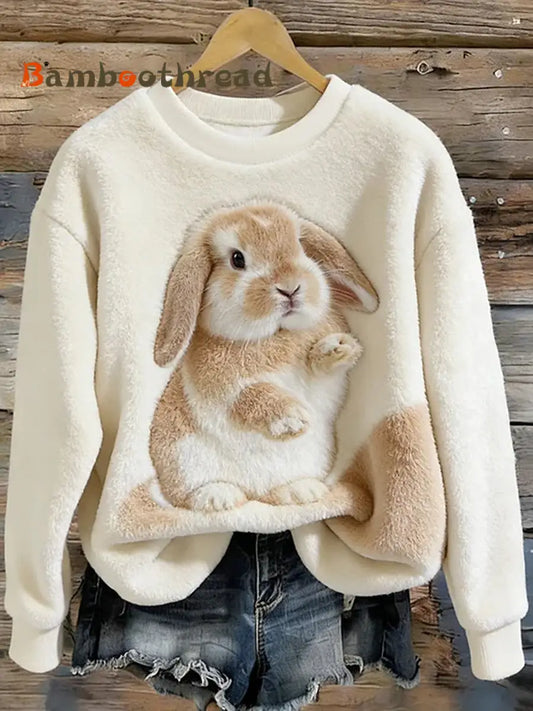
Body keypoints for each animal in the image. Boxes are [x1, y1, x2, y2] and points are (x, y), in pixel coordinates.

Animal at [149, 200, 379, 513]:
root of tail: (252, 493)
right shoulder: (220, 386)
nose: (290, 287)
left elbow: (321, 370)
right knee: (191, 493)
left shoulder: (326, 385)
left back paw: (301, 491)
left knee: (276, 491)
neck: (275, 335)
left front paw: (339, 348)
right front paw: (292, 419)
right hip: (183, 459)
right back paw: (218, 497)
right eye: (237, 259)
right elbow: (249, 394)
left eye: (300, 246)